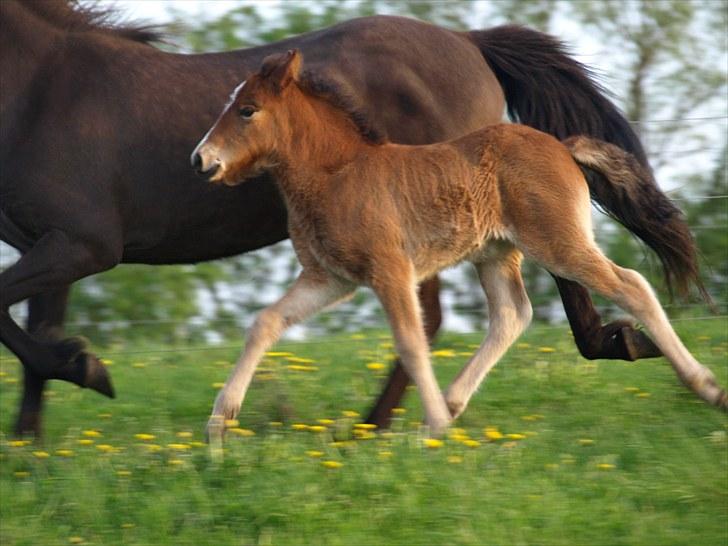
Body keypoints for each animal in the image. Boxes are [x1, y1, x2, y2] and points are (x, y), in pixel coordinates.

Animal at [0, 0, 660, 434]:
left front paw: (87, 370)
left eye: (247, 109)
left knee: (451, 312)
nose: (200, 159)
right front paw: (35, 440)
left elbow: (10, 319)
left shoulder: (83, 244)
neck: (42, 89)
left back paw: (377, 427)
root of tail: (471, 43)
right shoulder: (50, 244)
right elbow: (32, 330)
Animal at [191, 51, 724, 440]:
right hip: (496, 253)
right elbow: (265, 323)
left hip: (558, 243)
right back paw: (450, 403)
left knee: (631, 286)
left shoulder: (389, 270)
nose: (200, 159)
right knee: (512, 314)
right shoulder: (332, 278)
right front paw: (221, 420)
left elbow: (411, 343)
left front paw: (436, 430)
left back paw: (707, 387)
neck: (335, 173)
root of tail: (563, 146)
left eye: (247, 110)